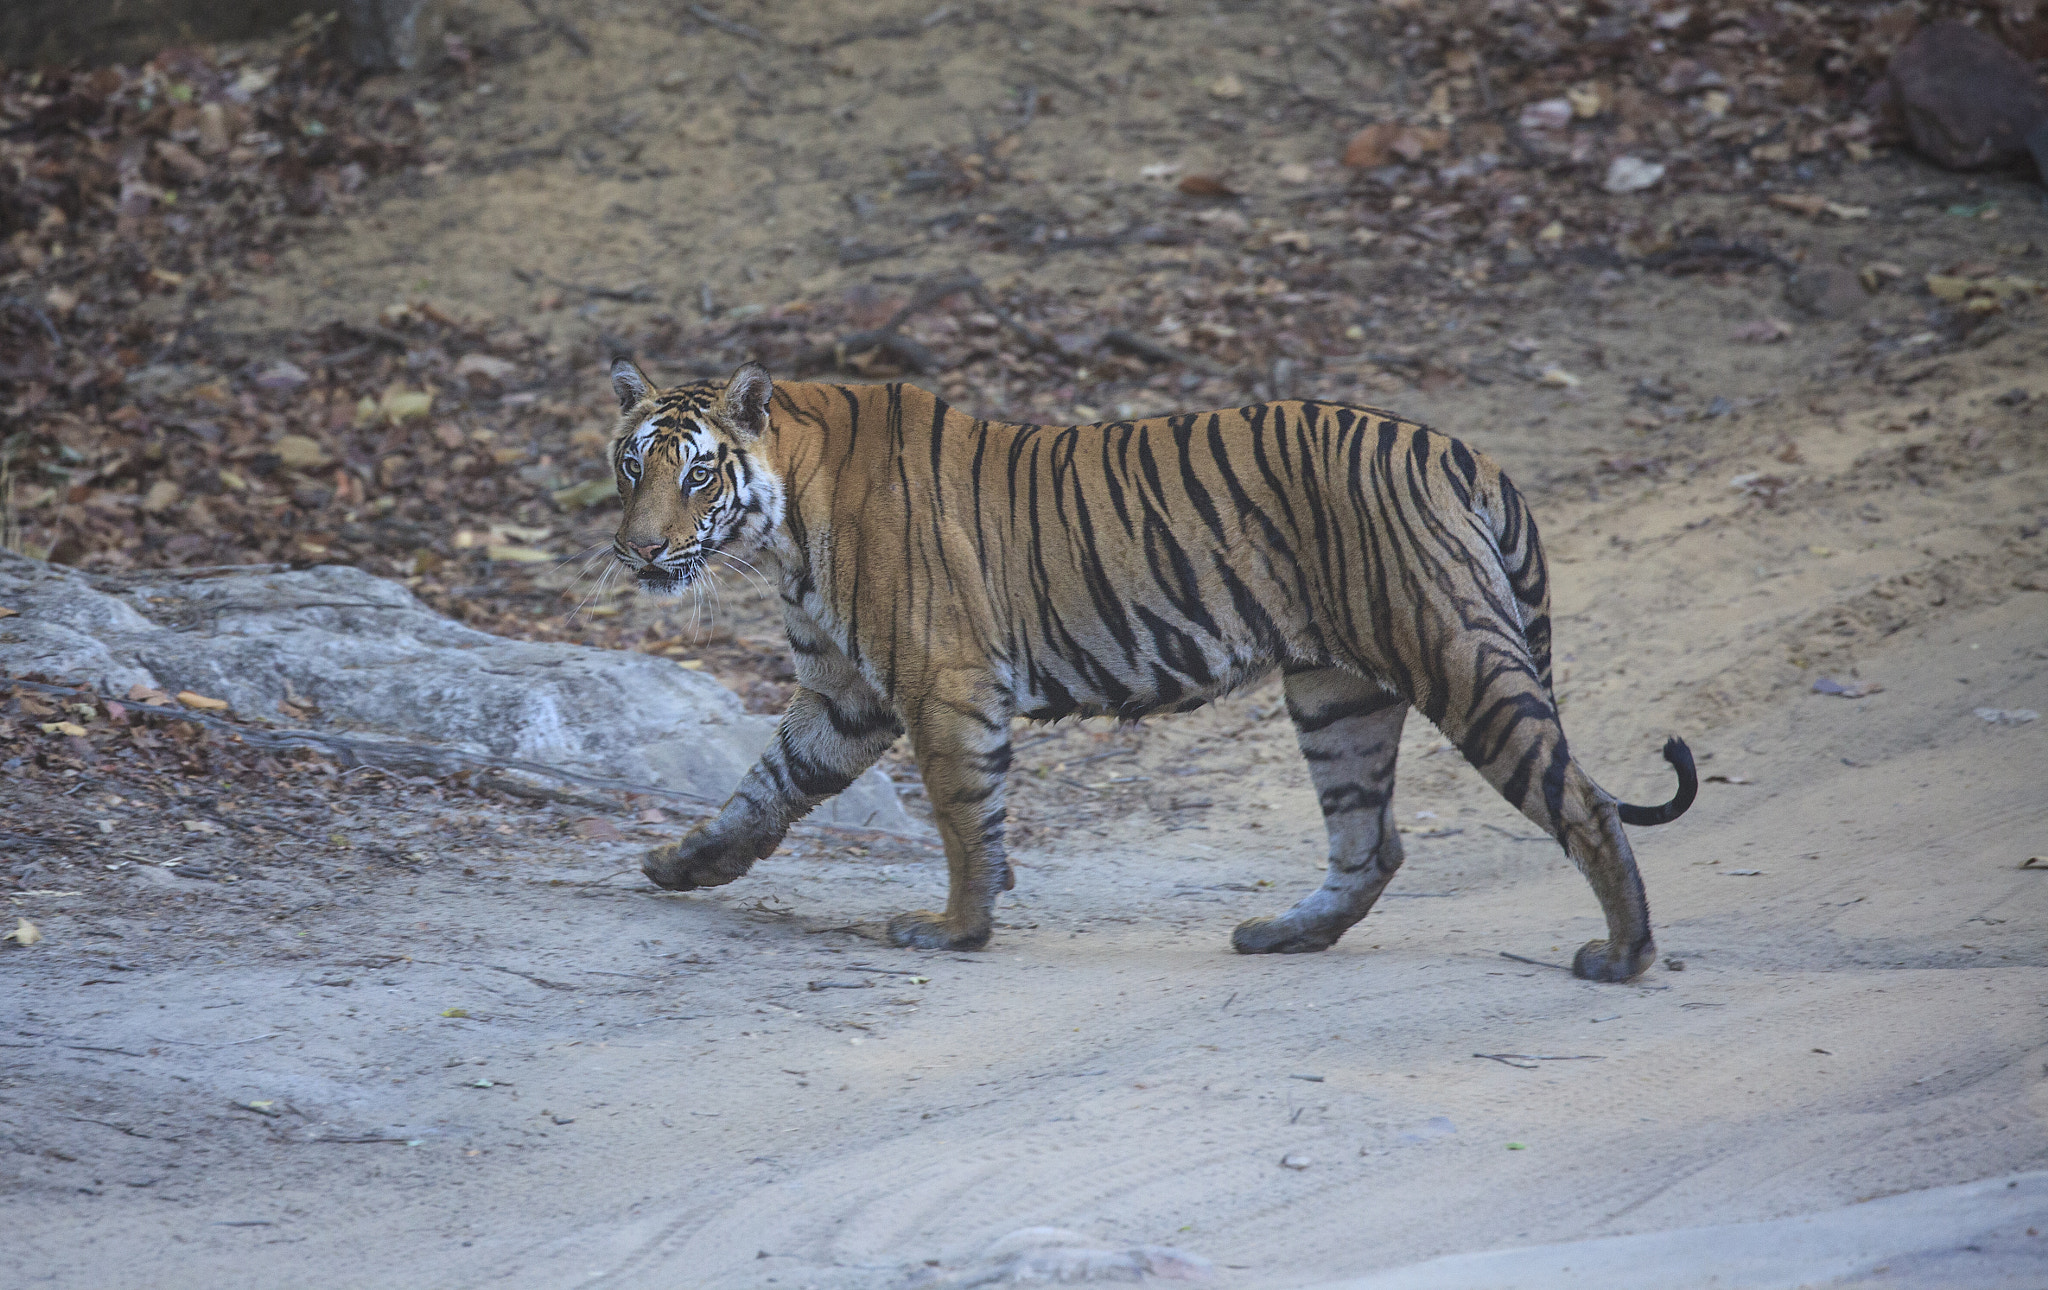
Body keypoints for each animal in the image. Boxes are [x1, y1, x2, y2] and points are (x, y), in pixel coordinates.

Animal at [602, 358, 1695, 986]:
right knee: (1370, 842)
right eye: (630, 465)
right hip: (1336, 694)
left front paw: (956, 930)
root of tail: (1461, 452)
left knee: (1579, 799)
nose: (641, 551)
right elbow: (765, 785)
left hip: (1453, 654)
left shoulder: (941, 681)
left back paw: (1623, 956)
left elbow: (960, 814)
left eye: (696, 473)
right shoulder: (847, 693)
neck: (783, 526)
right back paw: (1282, 936)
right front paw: (683, 865)